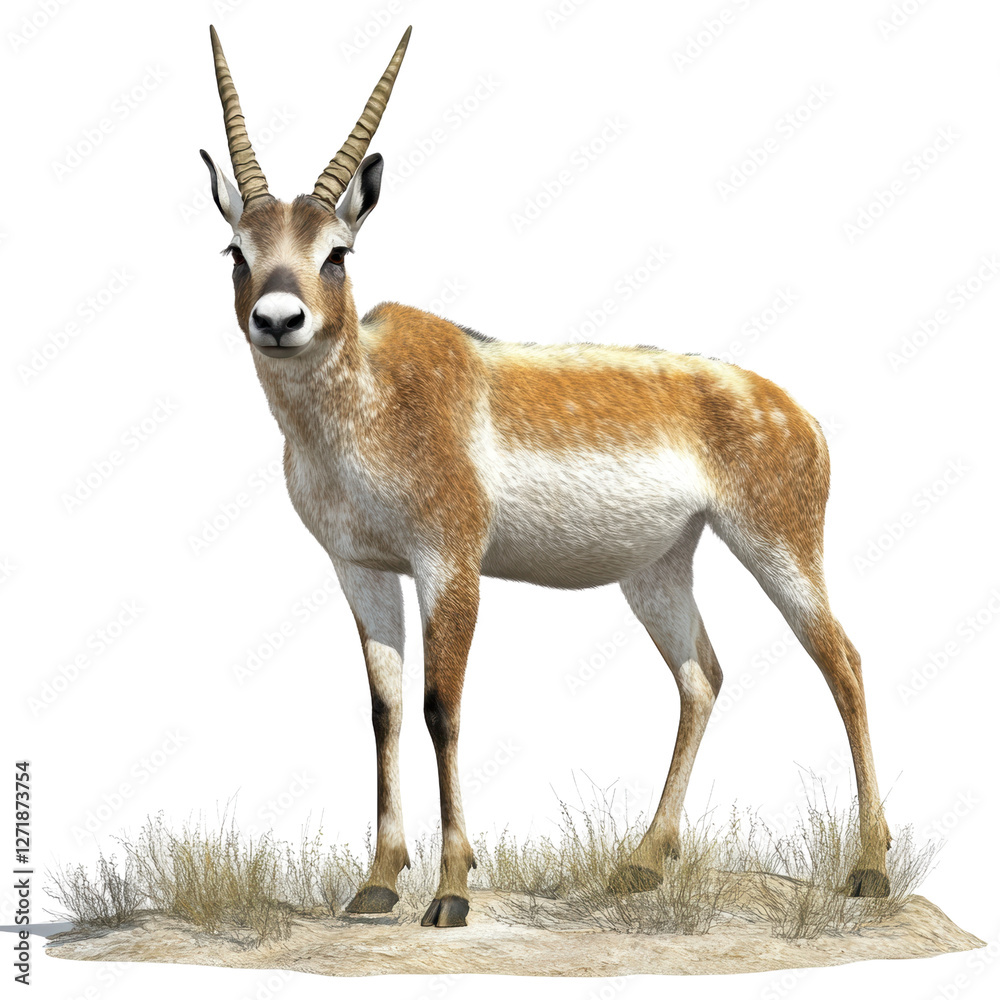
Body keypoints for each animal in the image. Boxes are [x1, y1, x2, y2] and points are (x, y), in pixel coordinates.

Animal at [201, 25, 892, 928]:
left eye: (338, 253)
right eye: (236, 249)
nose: (279, 320)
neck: (373, 403)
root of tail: (797, 411)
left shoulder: (450, 565)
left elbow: (442, 706)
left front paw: (450, 894)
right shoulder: (359, 569)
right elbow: (385, 708)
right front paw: (376, 882)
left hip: (777, 547)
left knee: (842, 661)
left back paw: (870, 870)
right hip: (657, 571)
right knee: (702, 677)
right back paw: (641, 865)